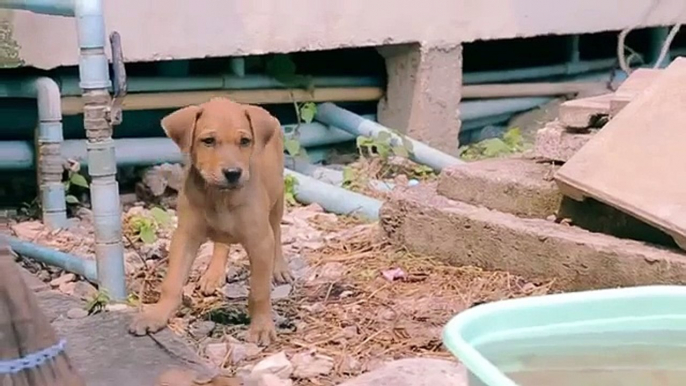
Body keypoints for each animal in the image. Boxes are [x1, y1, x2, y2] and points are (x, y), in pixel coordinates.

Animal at [129, 98, 290, 346]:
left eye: (245, 141)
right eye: (208, 141)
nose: (233, 173)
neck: (220, 196)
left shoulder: (260, 242)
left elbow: (260, 290)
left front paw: (262, 326)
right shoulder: (185, 236)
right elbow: (172, 282)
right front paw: (156, 315)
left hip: (277, 198)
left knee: (277, 231)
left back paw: (279, 268)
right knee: (222, 243)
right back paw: (213, 274)